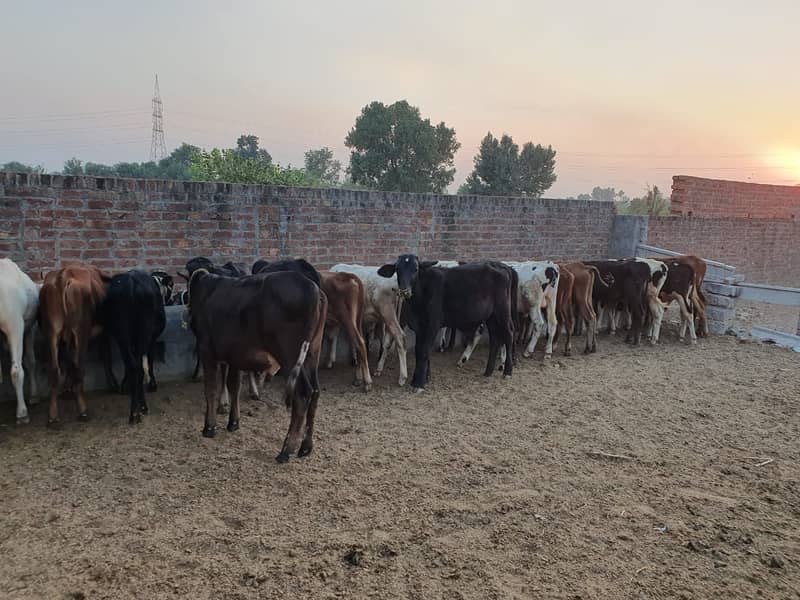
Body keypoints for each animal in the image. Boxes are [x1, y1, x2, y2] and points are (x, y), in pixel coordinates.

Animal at [38, 264, 110, 426]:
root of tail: (63, 274)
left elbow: (68, 361)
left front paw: (66, 390)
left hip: (52, 333)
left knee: (54, 369)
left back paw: (53, 416)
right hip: (80, 331)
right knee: (78, 366)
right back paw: (83, 410)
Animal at [101, 270, 168, 424]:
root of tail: (131, 281)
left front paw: (125, 386)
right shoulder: (152, 339)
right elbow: (150, 361)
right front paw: (152, 385)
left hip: (122, 334)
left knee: (132, 365)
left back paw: (134, 411)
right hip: (143, 334)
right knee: (139, 366)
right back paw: (141, 408)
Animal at [186, 270, 326, 462]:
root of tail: (313, 288)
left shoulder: (207, 349)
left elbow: (211, 389)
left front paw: (209, 427)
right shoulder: (234, 354)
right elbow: (233, 385)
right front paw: (233, 423)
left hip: (290, 354)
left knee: (303, 392)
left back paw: (286, 450)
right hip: (313, 352)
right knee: (316, 391)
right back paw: (305, 447)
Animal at [378, 255, 516, 392]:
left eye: (416, 269)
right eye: (397, 269)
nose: (404, 290)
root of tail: (502, 266)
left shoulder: (432, 325)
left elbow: (423, 351)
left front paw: (419, 383)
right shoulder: (419, 327)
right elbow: (419, 350)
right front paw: (420, 379)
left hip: (502, 310)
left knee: (509, 334)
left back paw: (507, 372)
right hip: (491, 316)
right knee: (495, 338)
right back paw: (488, 372)